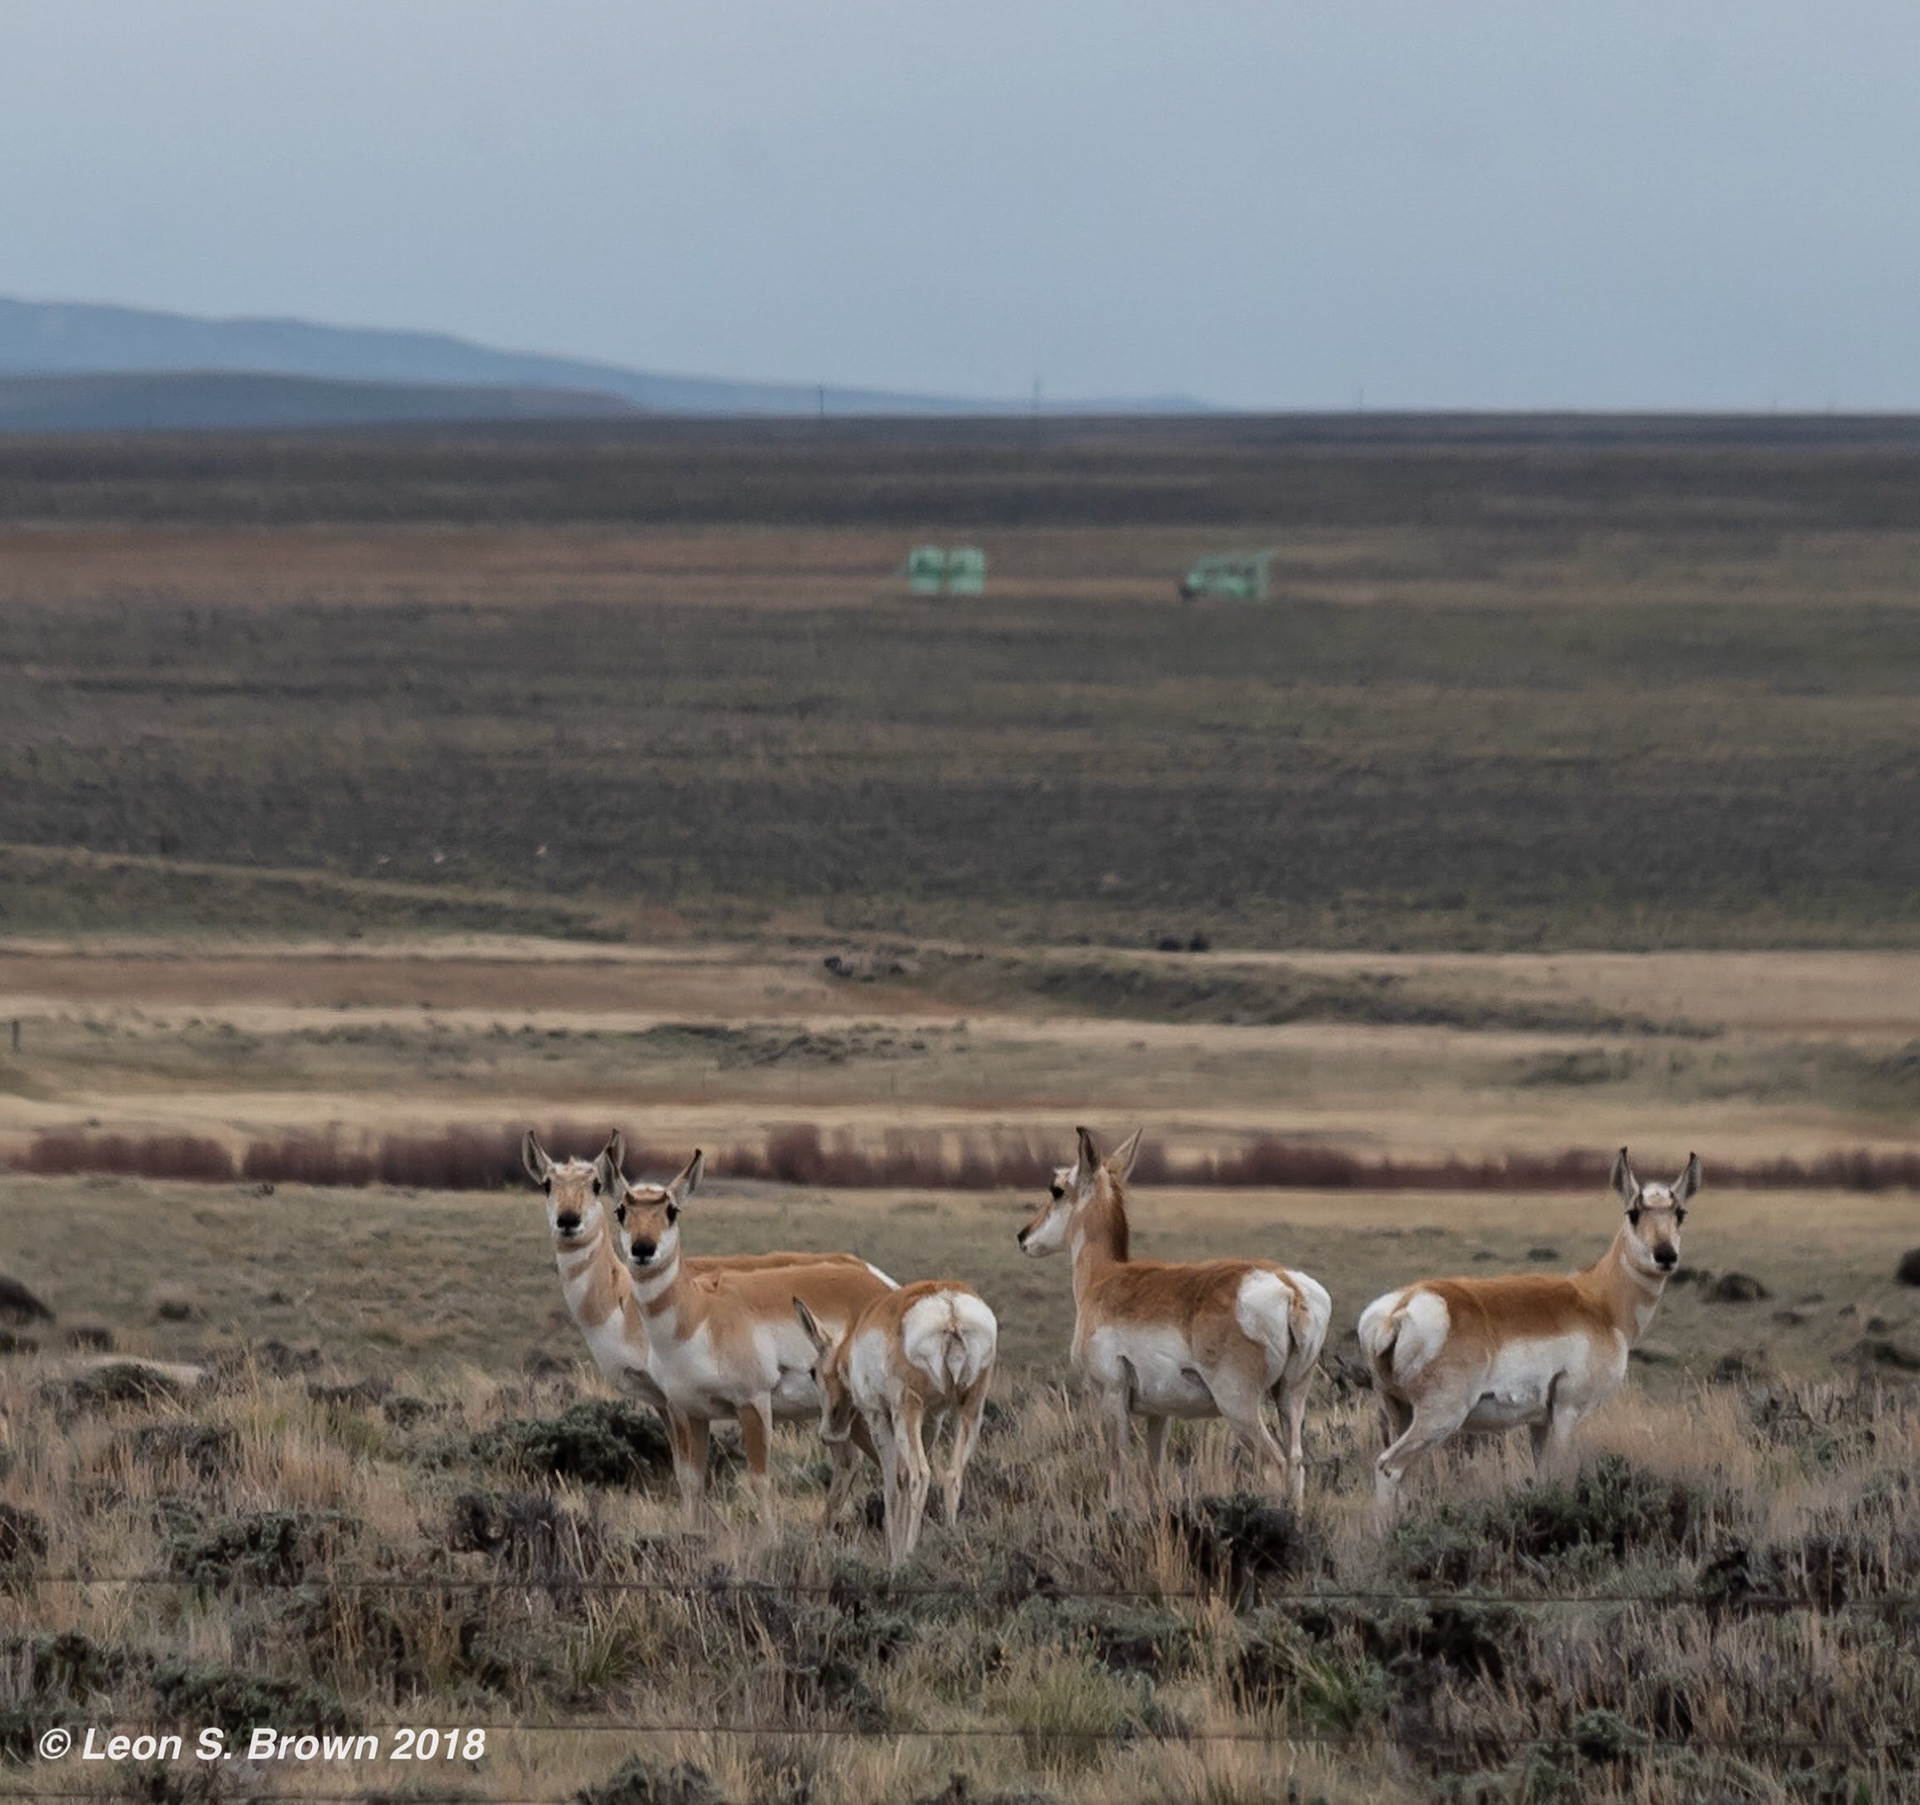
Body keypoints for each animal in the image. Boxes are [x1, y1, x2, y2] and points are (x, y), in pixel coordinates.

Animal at [612, 1148, 899, 1532]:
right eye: (621, 1210)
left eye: (671, 1210)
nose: (643, 1249)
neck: (698, 1314)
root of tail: (883, 1286)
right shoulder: (688, 1412)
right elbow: (691, 1480)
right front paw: (692, 1534)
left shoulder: (753, 1404)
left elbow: (760, 1479)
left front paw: (772, 1538)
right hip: (845, 1417)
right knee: (858, 1461)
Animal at [793, 1280, 998, 1567]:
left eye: (812, 1372)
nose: (829, 1432)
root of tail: (950, 1307)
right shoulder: (932, 1420)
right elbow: (903, 1476)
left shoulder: (879, 1417)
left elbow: (893, 1483)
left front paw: (894, 1558)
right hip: (970, 1408)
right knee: (952, 1475)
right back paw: (952, 1539)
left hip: (907, 1412)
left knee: (921, 1474)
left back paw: (910, 1555)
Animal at [1017, 1127, 1332, 1509]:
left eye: (1057, 1189)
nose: (1023, 1236)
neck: (1105, 1277)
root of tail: (1289, 1287)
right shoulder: (1160, 1413)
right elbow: (1154, 1472)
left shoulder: (1111, 1396)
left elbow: (1117, 1467)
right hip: (1291, 1394)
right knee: (1296, 1463)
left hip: (1238, 1405)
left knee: (1273, 1463)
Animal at [1358, 1147, 1699, 1514]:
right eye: (1633, 1212)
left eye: (1680, 1212)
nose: (1665, 1255)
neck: (1598, 1300)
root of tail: (1400, 1308)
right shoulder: (1567, 1414)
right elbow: (1563, 1477)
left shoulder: (1539, 1423)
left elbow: (1543, 1479)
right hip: (1439, 1418)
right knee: (1388, 1467)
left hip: (1398, 1413)